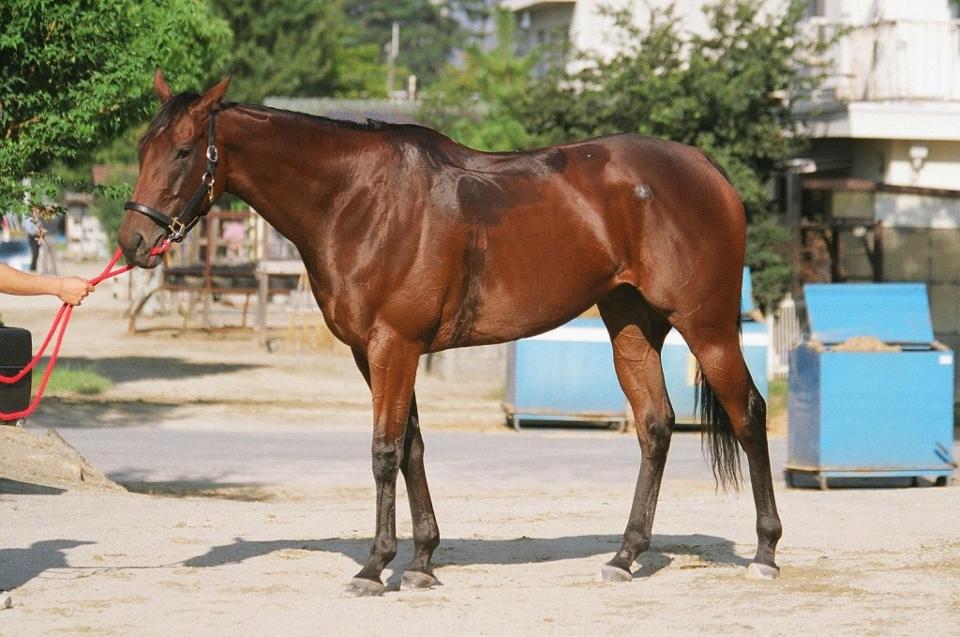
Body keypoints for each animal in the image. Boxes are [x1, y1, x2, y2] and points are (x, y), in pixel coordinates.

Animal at [118, 70, 782, 596]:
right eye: (143, 146)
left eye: (183, 151)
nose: (133, 242)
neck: (359, 199)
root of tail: (707, 169)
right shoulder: (375, 352)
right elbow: (411, 445)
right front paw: (422, 562)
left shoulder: (393, 345)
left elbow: (385, 450)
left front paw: (375, 567)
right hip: (630, 325)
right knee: (655, 426)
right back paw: (625, 556)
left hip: (708, 325)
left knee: (748, 413)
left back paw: (766, 552)